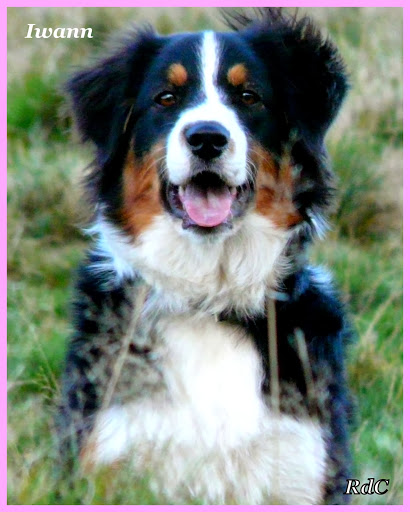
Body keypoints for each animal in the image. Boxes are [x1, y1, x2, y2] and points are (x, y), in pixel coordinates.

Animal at [58, 8, 353, 505]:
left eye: (249, 96)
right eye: (166, 98)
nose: (207, 138)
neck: (207, 299)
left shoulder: (304, 464)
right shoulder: (106, 454)